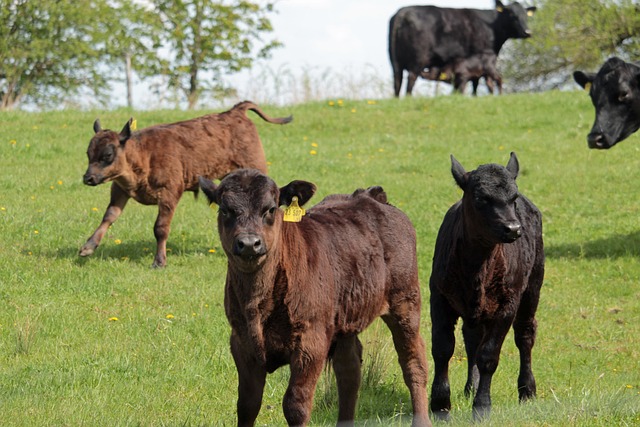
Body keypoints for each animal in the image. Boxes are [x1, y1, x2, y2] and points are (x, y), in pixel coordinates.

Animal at [79, 100, 292, 268]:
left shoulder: (169, 193)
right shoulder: (120, 189)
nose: (88, 178)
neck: (144, 155)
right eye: (88, 153)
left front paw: (159, 261)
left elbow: (160, 228)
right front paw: (88, 247)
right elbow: (109, 216)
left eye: (107, 154)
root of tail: (235, 111)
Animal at [198, 171, 432, 427]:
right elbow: (247, 404)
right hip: (346, 318)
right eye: (225, 210)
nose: (250, 243)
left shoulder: (311, 341)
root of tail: (372, 196)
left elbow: (296, 406)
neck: (258, 305)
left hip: (405, 302)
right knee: (349, 371)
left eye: (270, 209)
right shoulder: (241, 342)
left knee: (413, 362)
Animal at [390, 0, 536, 97]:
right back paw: (408, 98)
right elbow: (480, 82)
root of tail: (403, 12)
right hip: (418, 59)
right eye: (512, 15)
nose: (528, 32)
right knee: (411, 78)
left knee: (397, 80)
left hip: (395, 61)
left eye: (525, 15)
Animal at [428, 153, 544, 422]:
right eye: (481, 198)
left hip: (532, 287)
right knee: (472, 338)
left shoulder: (506, 305)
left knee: (525, 334)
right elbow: (442, 348)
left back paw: (527, 390)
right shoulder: (439, 296)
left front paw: (481, 407)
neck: (477, 267)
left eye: (513, 198)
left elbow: (489, 356)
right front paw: (440, 405)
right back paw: (471, 386)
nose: (513, 228)